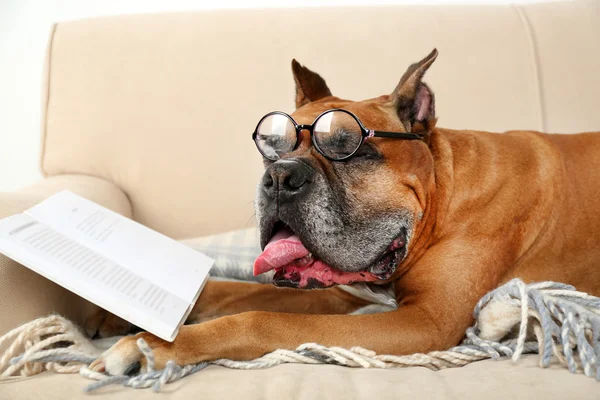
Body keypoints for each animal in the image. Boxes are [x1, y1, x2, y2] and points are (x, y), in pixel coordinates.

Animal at [86, 49, 596, 376]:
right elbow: (230, 291)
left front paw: (153, 347)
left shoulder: (424, 321)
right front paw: (120, 311)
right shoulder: (341, 295)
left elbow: (259, 320)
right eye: (272, 147)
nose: (280, 177)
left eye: (349, 148)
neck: (442, 194)